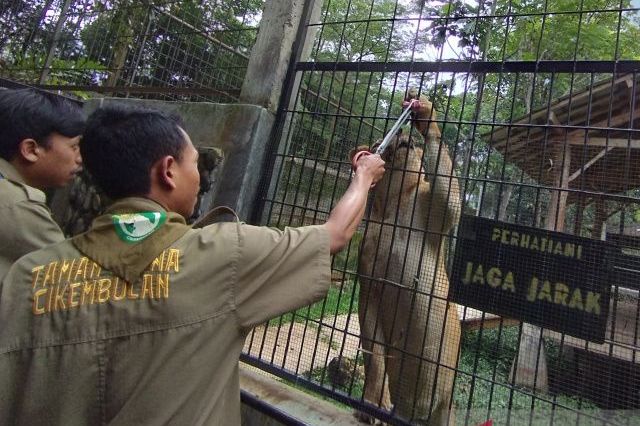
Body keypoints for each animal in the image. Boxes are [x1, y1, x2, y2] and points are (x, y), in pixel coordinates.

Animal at [352, 90, 462, 426]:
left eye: (412, 140)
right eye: (379, 140)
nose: (403, 134)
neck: (394, 204)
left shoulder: (438, 207)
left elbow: (448, 191)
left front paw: (424, 112)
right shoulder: (369, 284)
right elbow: (375, 360)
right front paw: (369, 407)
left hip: (446, 406)